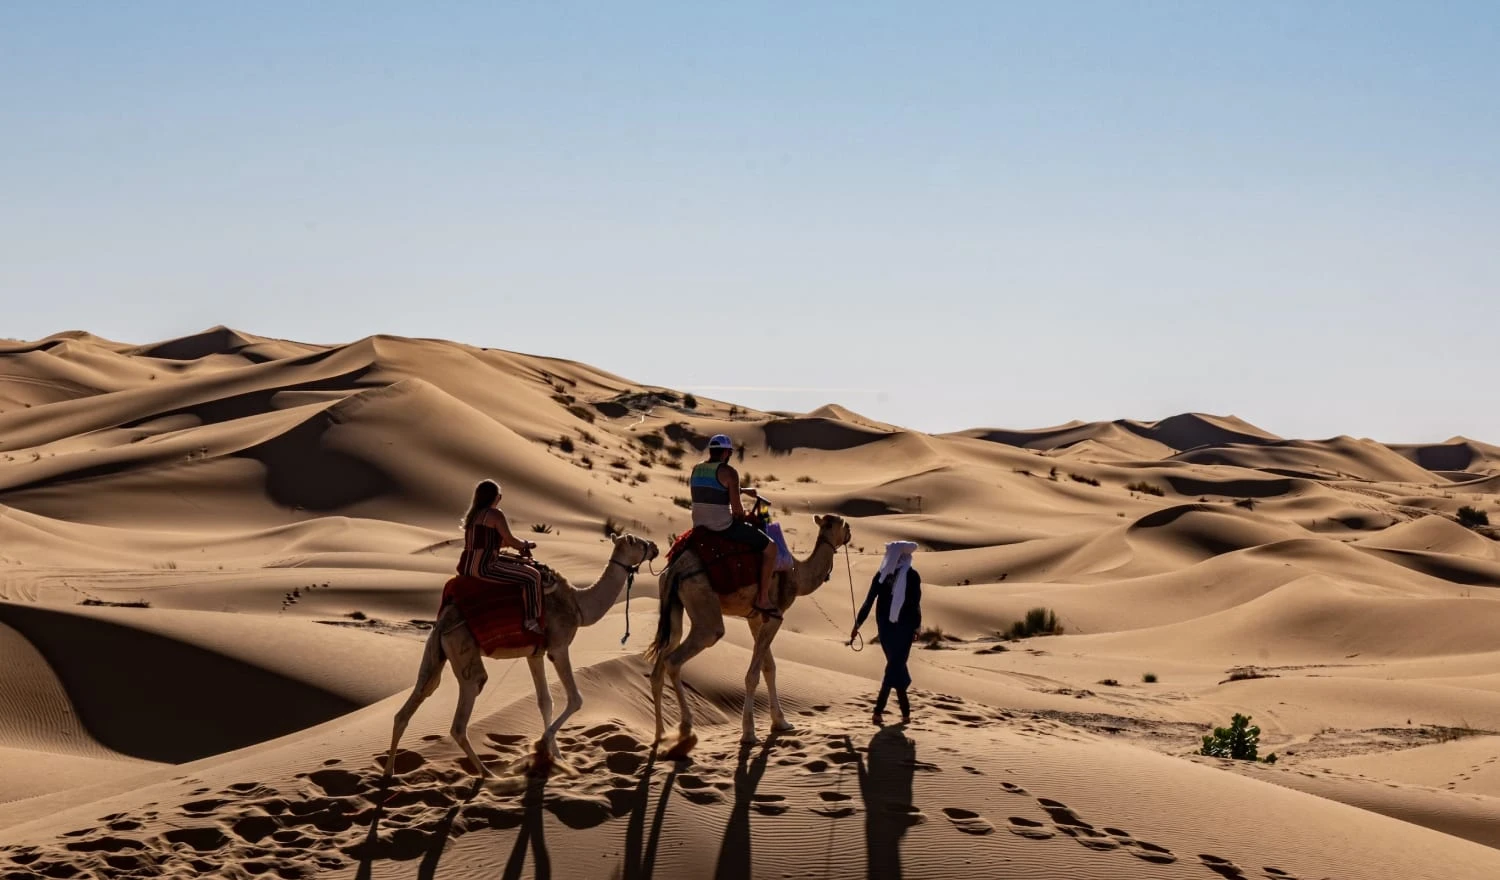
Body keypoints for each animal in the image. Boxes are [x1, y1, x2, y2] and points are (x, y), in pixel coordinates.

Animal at [390, 530, 660, 779]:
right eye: (638, 542)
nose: (656, 547)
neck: (578, 605)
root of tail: (443, 621)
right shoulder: (558, 647)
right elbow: (576, 698)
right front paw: (542, 746)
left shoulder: (535, 654)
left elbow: (545, 702)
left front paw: (557, 758)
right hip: (462, 648)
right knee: (462, 713)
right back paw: (487, 774)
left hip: (435, 652)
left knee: (415, 699)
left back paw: (389, 774)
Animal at [648, 512, 852, 755]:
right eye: (844, 525)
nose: (849, 533)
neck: (797, 574)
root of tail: (675, 569)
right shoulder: (775, 615)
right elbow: (753, 675)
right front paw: (749, 734)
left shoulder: (755, 617)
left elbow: (769, 667)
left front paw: (781, 722)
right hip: (703, 604)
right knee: (677, 657)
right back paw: (685, 730)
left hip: (672, 604)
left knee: (663, 658)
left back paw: (660, 735)